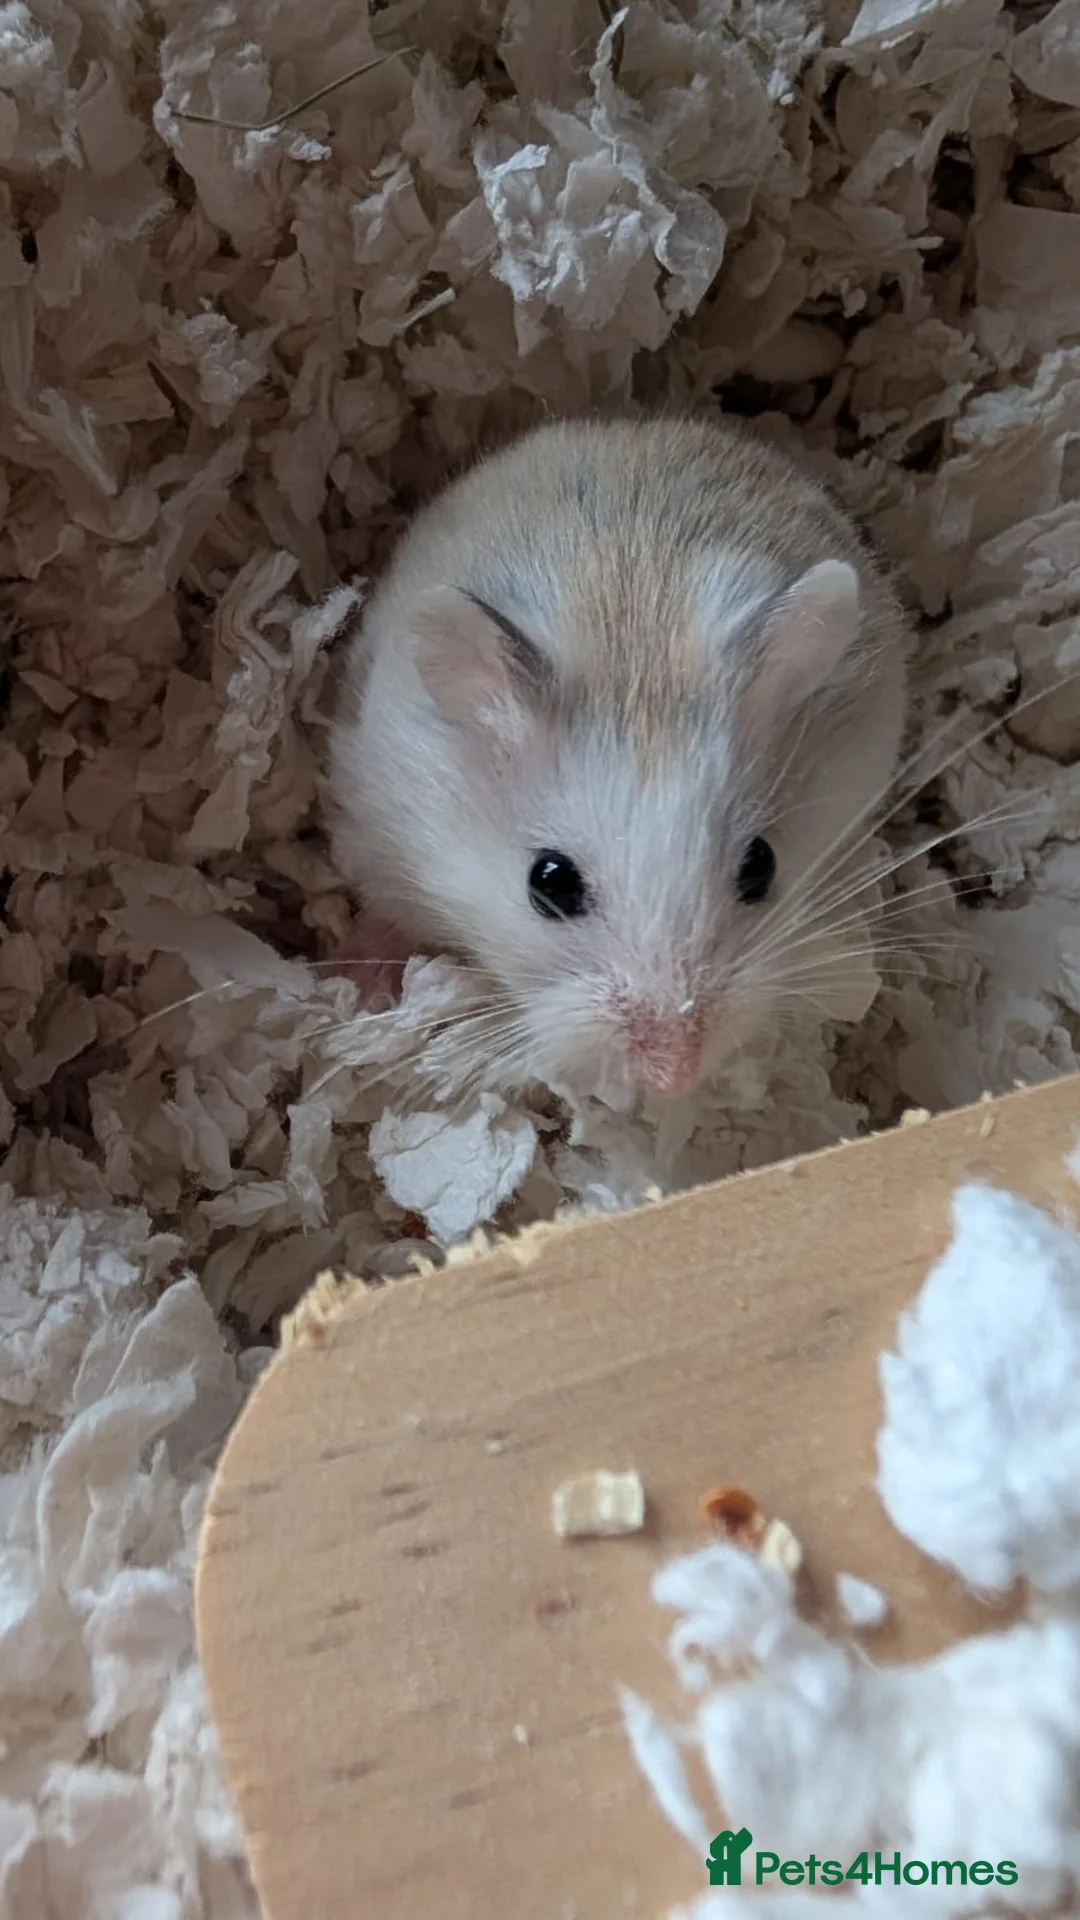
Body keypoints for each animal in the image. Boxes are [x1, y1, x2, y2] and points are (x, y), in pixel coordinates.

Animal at [327, 414, 909, 1102]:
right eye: (548, 883)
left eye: (762, 865)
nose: (674, 1076)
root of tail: (628, 423)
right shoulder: (380, 834)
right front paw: (362, 988)